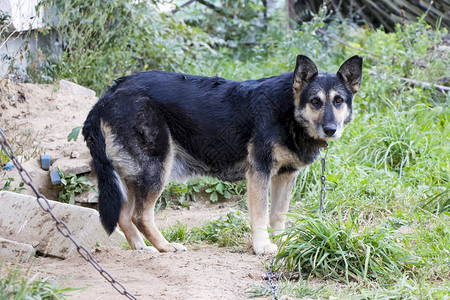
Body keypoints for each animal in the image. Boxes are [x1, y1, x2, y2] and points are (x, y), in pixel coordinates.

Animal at [83, 55, 362, 254]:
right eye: (315, 102)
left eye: (338, 101)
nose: (330, 130)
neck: (288, 110)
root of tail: (108, 95)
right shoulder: (259, 172)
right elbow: (261, 214)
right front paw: (262, 246)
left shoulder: (285, 176)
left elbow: (277, 215)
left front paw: (280, 242)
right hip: (155, 170)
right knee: (140, 215)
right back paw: (165, 246)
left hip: (134, 174)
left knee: (124, 215)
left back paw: (142, 248)